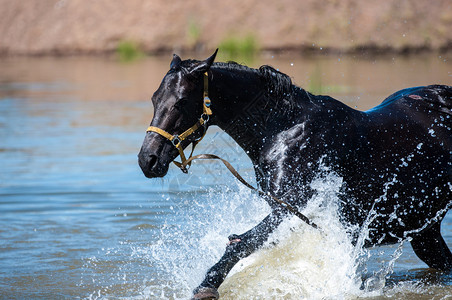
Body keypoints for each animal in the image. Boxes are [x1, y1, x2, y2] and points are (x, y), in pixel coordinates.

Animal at [139, 50, 452, 298]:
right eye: (154, 98)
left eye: (181, 101)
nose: (147, 160)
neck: (283, 130)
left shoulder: (290, 206)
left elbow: (240, 243)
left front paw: (207, 286)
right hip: (425, 233)